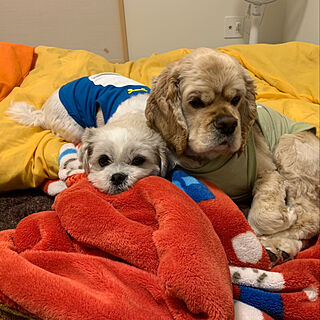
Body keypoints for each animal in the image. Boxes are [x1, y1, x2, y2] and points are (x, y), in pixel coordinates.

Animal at [6, 72, 170, 194]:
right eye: (103, 160)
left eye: (138, 160)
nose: (117, 177)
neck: (135, 116)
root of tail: (43, 112)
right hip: (74, 128)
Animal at [146, 47, 320, 266]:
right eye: (195, 102)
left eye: (236, 99)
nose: (228, 124)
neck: (212, 159)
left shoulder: (270, 173)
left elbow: (262, 216)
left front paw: (283, 218)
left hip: (289, 146)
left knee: (311, 218)